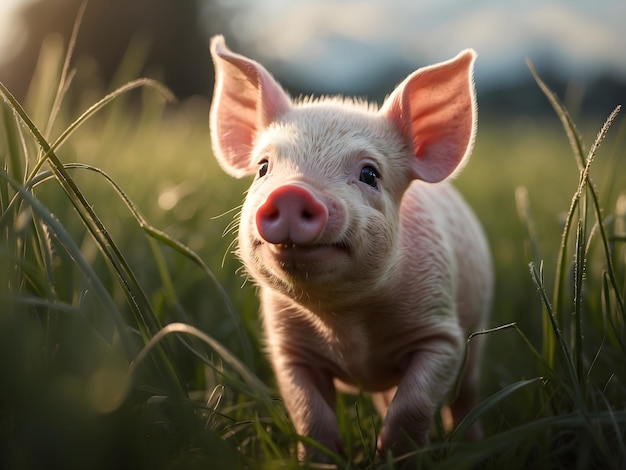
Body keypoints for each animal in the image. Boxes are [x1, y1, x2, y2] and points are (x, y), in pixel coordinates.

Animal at [210, 35, 492, 458]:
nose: (292, 192)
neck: (345, 323)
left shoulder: (442, 334)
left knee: (466, 397)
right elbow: (309, 414)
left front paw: (393, 455)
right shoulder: (288, 349)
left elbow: (413, 404)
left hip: (480, 329)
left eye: (370, 174)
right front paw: (324, 458)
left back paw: (471, 445)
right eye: (263, 168)